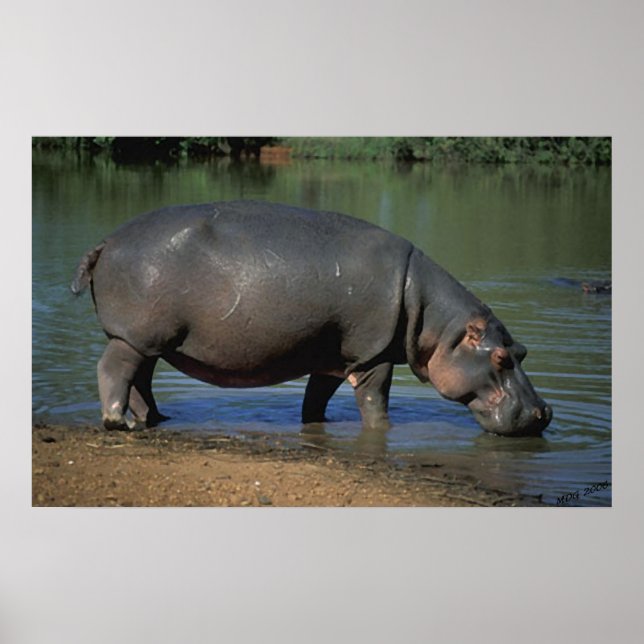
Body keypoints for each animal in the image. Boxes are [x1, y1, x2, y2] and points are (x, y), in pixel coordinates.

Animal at [71, 201, 552, 437]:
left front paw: (318, 426)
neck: (438, 325)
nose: (544, 413)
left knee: (141, 380)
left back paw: (156, 420)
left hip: (149, 342)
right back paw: (119, 423)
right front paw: (384, 430)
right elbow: (375, 402)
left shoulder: (334, 358)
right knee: (113, 370)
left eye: (523, 350)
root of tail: (106, 240)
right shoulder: (373, 356)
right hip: (134, 336)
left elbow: (315, 399)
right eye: (500, 359)